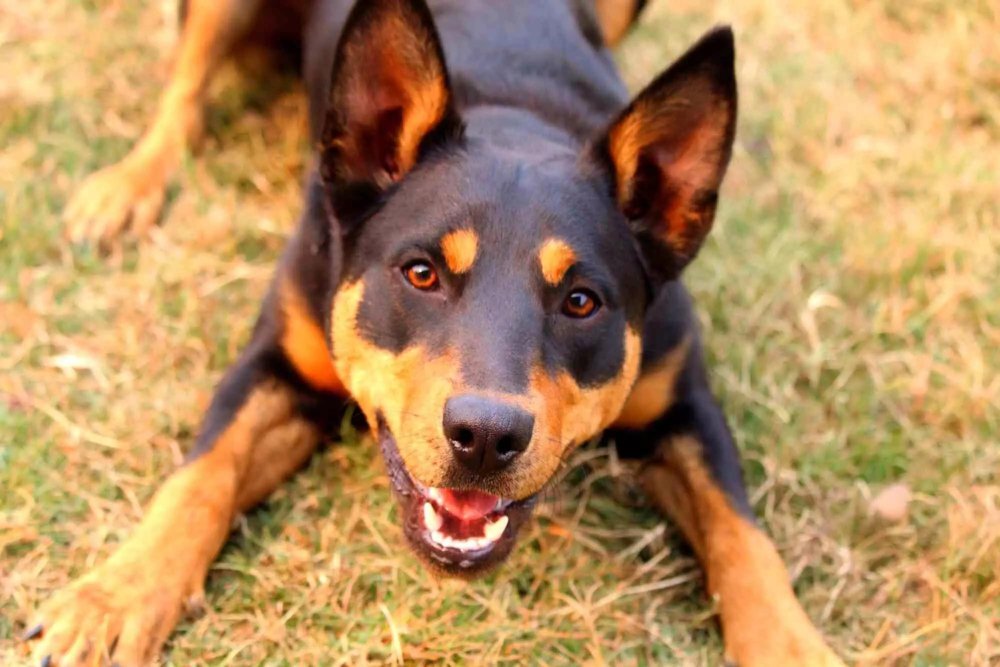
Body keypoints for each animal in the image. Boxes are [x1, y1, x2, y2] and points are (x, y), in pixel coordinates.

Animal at [27, 2, 844, 664]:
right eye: (421, 273)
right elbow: (200, 476)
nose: (485, 437)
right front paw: (116, 597)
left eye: (581, 301)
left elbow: (746, 539)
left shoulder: (683, 403)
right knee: (184, 89)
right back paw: (127, 187)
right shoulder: (277, 363)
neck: (515, 117)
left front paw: (792, 646)